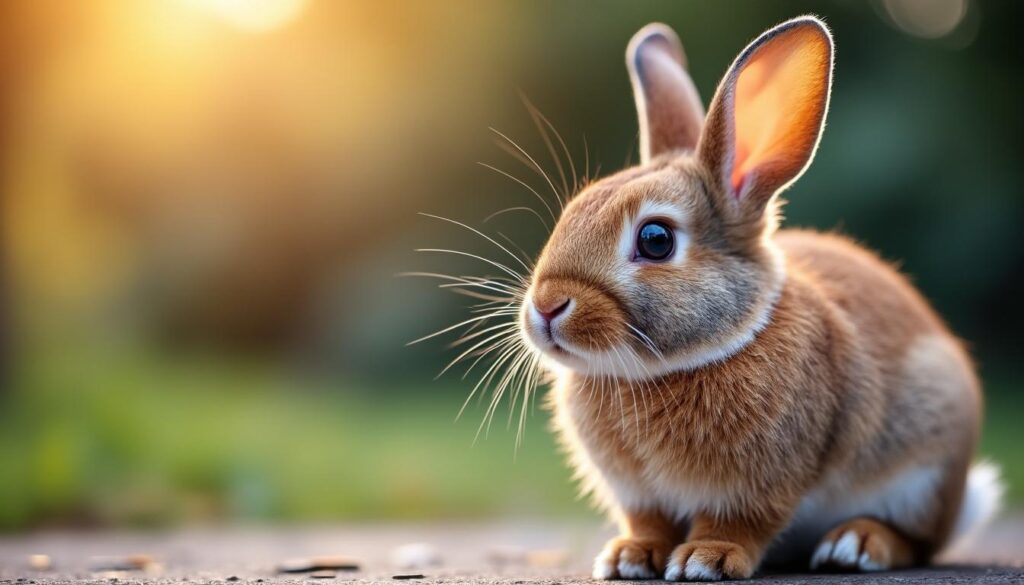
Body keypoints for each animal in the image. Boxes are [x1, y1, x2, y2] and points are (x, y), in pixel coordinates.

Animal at [516, 15, 1003, 581]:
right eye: (574, 211)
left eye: (656, 239)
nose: (547, 307)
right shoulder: (640, 495)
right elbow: (649, 523)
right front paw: (628, 557)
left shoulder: (760, 484)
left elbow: (740, 522)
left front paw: (705, 558)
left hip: (926, 468)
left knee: (917, 542)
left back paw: (855, 544)